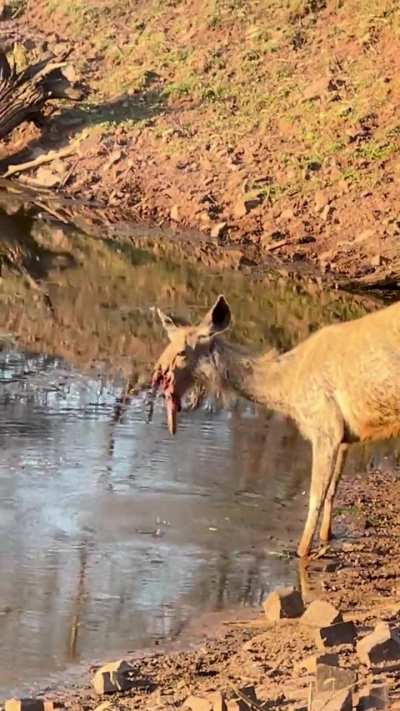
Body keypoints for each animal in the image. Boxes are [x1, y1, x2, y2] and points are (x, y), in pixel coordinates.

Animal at [151, 294, 400, 558]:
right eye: (167, 345)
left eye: (182, 352)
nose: (157, 373)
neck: (286, 389)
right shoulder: (346, 436)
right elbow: (333, 490)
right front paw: (327, 537)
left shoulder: (325, 426)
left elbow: (315, 497)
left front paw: (301, 551)